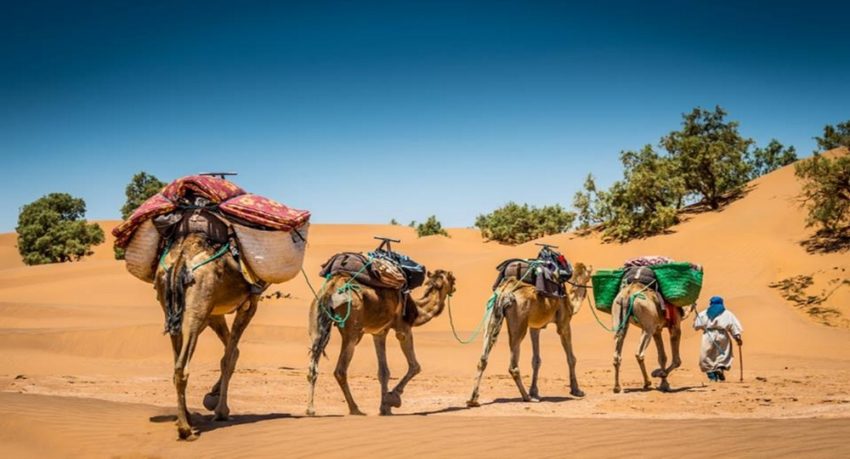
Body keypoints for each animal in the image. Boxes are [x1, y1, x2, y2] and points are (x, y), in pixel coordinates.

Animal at [153, 234, 256, 442]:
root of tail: (181, 259)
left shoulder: (214, 313)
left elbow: (233, 352)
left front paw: (213, 396)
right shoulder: (250, 303)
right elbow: (228, 357)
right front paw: (221, 410)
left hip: (171, 308)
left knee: (176, 362)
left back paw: (185, 418)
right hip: (197, 305)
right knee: (182, 367)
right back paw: (185, 429)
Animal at [304, 270, 450, 416]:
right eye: (450, 278)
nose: (453, 286)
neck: (417, 311)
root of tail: (330, 289)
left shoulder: (379, 333)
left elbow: (383, 372)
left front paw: (385, 407)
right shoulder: (403, 328)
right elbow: (415, 366)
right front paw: (393, 399)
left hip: (315, 320)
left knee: (313, 367)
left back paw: (310, 409)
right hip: (352, 326)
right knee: (340, 370)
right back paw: (355, 409)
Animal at [464, 262, 588, 406]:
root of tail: (504, 292)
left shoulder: (535, 327)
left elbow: (536, 360)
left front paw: (534, 391)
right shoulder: (564, 323)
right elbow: (571, 358)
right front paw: (577, 390)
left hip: (491, 313)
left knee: (483, 358)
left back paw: (473, 399)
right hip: (519, 321)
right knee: (513, 364)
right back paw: (527, 397)